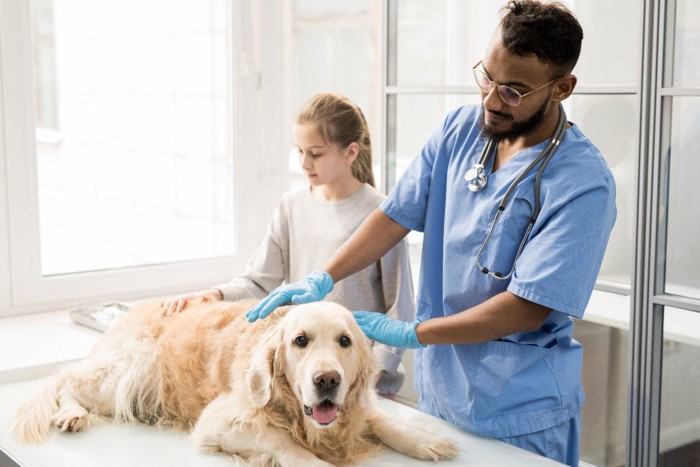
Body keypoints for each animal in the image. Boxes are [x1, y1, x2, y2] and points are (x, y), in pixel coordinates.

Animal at [13, 298, 460, 466]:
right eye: (300, 341)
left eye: (345, 341)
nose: (327, 380)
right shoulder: (221, 421)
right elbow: (285, 444)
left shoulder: (353, 409)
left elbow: (380, 419)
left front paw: (425, 440)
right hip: (131, 369)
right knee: (64, 380)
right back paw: (71, 414)